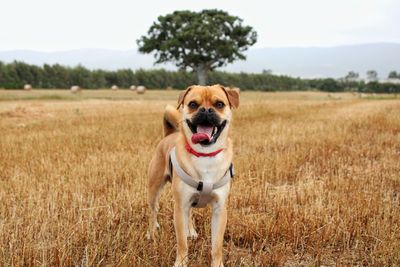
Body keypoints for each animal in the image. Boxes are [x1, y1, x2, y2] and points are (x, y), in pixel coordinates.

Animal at [148, 85, 239, 266]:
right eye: (192, 104)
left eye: (219, 104)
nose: (206, 110)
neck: (205, 155)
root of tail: (169, 134)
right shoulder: (179, 206)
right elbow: (182, 242)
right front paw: (181, 263)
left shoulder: (219, 209)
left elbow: (216, 245)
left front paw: (217, 263)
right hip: (154, 188)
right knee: (153, 211)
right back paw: (152, 232)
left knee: (189, 213)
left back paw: (190, 231)